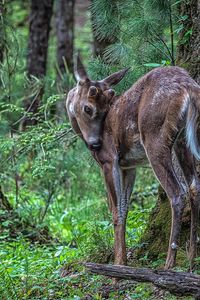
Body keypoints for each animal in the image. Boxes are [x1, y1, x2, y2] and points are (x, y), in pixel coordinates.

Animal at [67, 52, 200, 270]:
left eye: (89, 108)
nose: (96, 144)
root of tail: (188, 86)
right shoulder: (129, 166)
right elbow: (125, 208)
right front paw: (123, 261)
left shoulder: (110, 160)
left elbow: (115, 211)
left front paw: (118, 264)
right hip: (183, 139)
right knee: (194, 186)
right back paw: (191, 259)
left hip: (154, 138)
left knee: (177, 192)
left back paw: (169, 263)